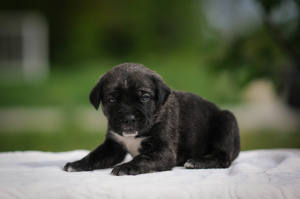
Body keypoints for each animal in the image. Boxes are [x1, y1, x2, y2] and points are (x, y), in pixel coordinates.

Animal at [64, 63, 240, 175]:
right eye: (111, 100)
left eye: (145, 98)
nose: (128, 118)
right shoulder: (113, 147)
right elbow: (95, 155)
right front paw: (78, 163)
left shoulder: (164, 152)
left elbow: (143, 157)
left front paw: (127, 167)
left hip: (226, 120)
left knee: (224, 157)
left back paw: (198, 161)